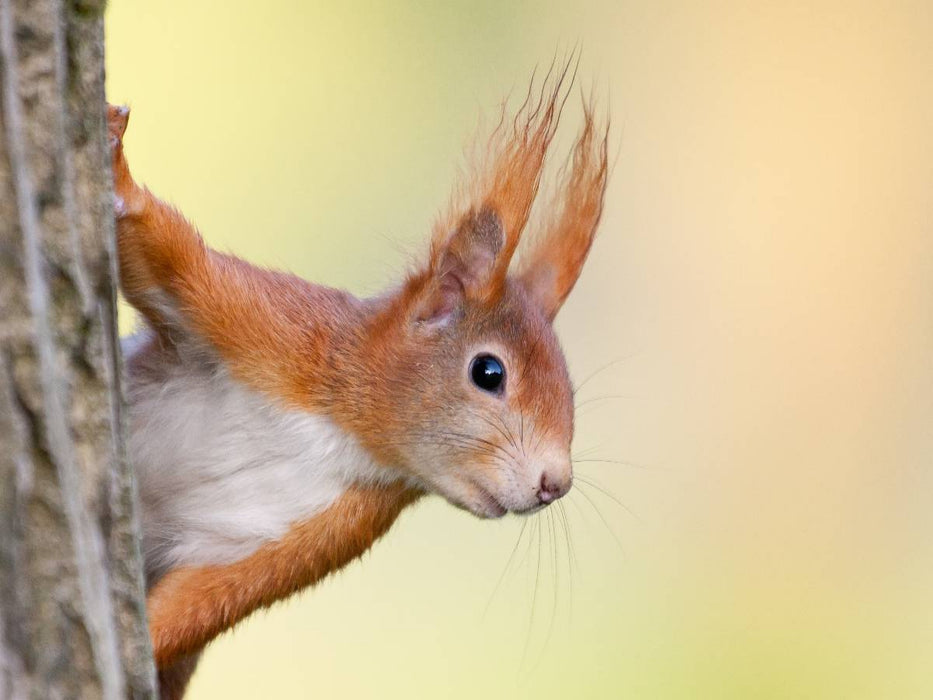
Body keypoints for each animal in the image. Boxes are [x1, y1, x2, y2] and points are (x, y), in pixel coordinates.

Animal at [107, 62, 608, 699]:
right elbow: (169, 261)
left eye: (570, 391)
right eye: (488, 372)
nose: (555, 483)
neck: (343, 431)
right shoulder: (273, 330)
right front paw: (116, 166)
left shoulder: (318, 533)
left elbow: (197, 606)